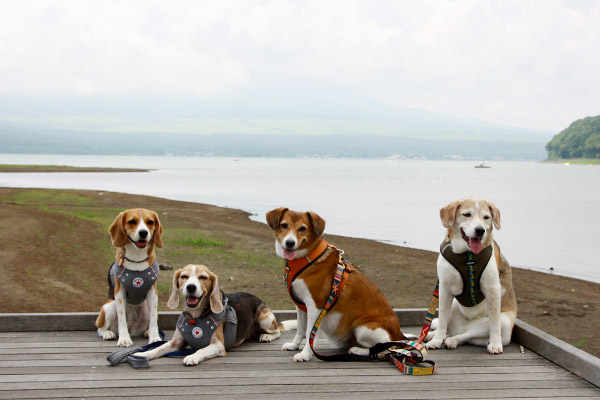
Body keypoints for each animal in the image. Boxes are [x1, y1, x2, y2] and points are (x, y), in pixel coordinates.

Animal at [95, 209, 163, 346]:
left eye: (150, 222)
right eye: (132, 221)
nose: (143, 232)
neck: (137, 258)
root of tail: (133, 329)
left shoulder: (153, 292)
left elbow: (153, 318)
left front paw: (154, 338)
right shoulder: (119, 292)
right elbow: (122, 318)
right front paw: (124, 339)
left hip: (146, 307)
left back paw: (148, 332)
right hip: (110, 306)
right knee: (100, 328)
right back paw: (108, 333)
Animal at [135, 266, 290, 366]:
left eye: (203, 277)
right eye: (184, 276)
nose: (191, 287)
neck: (195, 317)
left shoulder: (218, 345)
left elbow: (202, 349)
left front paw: (192, 356)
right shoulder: (176, 342)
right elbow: (159, 348)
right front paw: (143, 354)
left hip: (265, 318)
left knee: (277, 331)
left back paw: (266, 336)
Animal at [266, 206, 404, 362]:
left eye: (302, 228)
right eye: (284, 225)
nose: (290, 243)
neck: (307, 258)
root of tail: (399, 334)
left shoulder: (315, 307)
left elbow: (309, 334)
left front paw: (305, 354)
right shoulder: (301, 306)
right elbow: (300, 330)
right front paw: (294, 345)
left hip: (363, 329)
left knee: (386, 349)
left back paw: (357, 350)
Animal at [424, 197, 516, 354]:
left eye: (486, 217)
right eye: (466, 214)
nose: (480, 230)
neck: (468, 256)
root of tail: (462, 327)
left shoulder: (493, 290)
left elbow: (494, 323)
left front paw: (495, 344)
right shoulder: (444, 288)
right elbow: (442, 319)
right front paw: (436, 340)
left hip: (501, 323)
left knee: (466, 336)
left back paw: (452, 341)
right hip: (453, 306)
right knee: (450, 328)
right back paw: (435, 336)